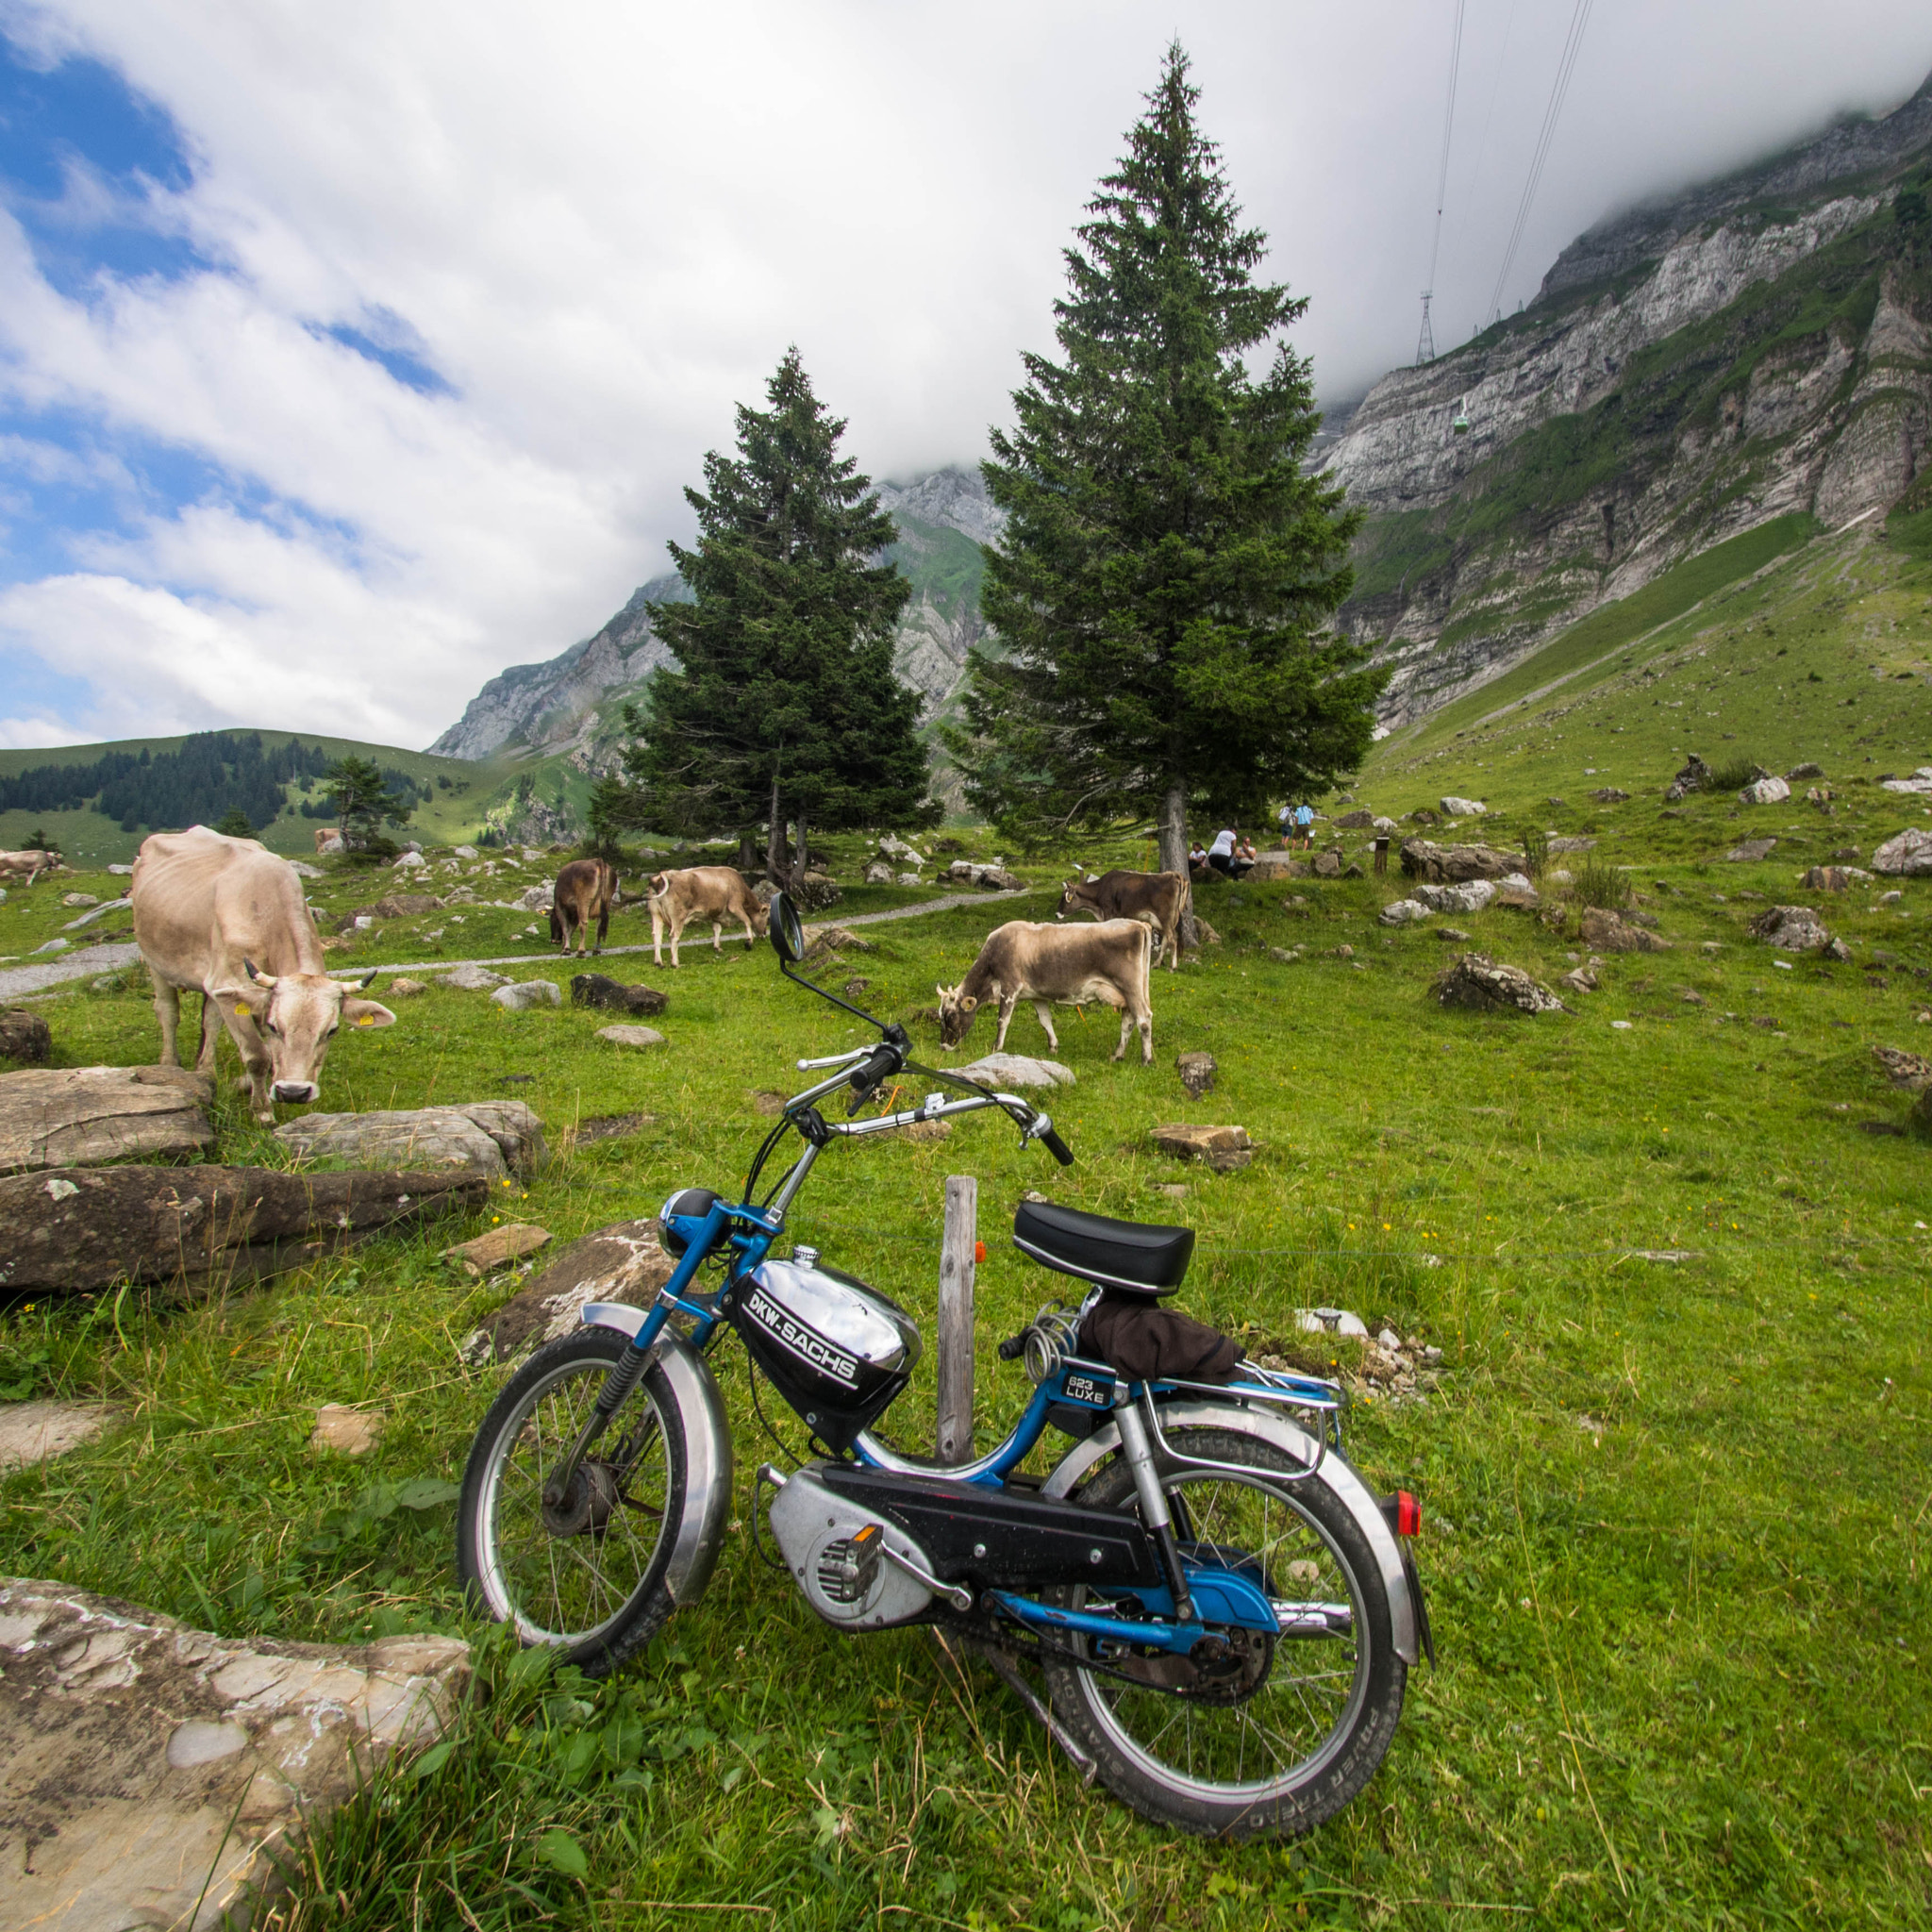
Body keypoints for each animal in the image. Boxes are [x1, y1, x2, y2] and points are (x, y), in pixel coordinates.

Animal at [131, 826, 395, 1128]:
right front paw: (262, 1111)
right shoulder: (234, 986)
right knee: (167, 1011)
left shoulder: (237, 991)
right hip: (155, 959)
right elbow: (258, 1056)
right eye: (274, 1026)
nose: (293, 1092)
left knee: (210, 1020)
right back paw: (169, 1064)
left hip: (214, 981)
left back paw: (206, 1071)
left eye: (332, 1030)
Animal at [935, 915, 1143, 1066]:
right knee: (1129, 1021)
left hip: (1131, 988)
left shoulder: (1009, 988)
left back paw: (1145, 1059)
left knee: (1143, 1019)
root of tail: (1139, 925)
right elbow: (1045, 1020)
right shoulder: (1036, 995)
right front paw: (1053, 1047)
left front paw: (996, 1046)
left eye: (951, 1016)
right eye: (940, 1016)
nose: (943, 1046)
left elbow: (1002, 1020)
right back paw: (1118, 1055)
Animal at [1058, 873, 1190, 974]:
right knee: (1166, 940)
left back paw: (1172, 967)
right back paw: (1156, 964)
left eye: (1064, 897)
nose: (1057, 913)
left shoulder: (1108, 913)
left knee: (1172, 940)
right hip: (1168, 920)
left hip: (1166, 918)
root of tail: (1175, 875)